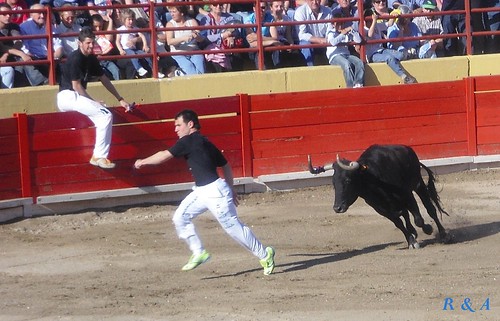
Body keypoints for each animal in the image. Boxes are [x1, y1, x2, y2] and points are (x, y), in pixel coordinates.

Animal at [308, 144, 450, 248]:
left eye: (348, 180)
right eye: (333, 183)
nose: (337, 208)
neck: (374, 180)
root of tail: (407, 149)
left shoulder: (407, 194)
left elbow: (418, 219)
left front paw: (428, 229)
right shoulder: (380, 208)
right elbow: (399, 223)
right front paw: (411, 241)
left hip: (418, 184)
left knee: (430, 209)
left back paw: (443, 234)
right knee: (405, 214)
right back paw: (414, 232)